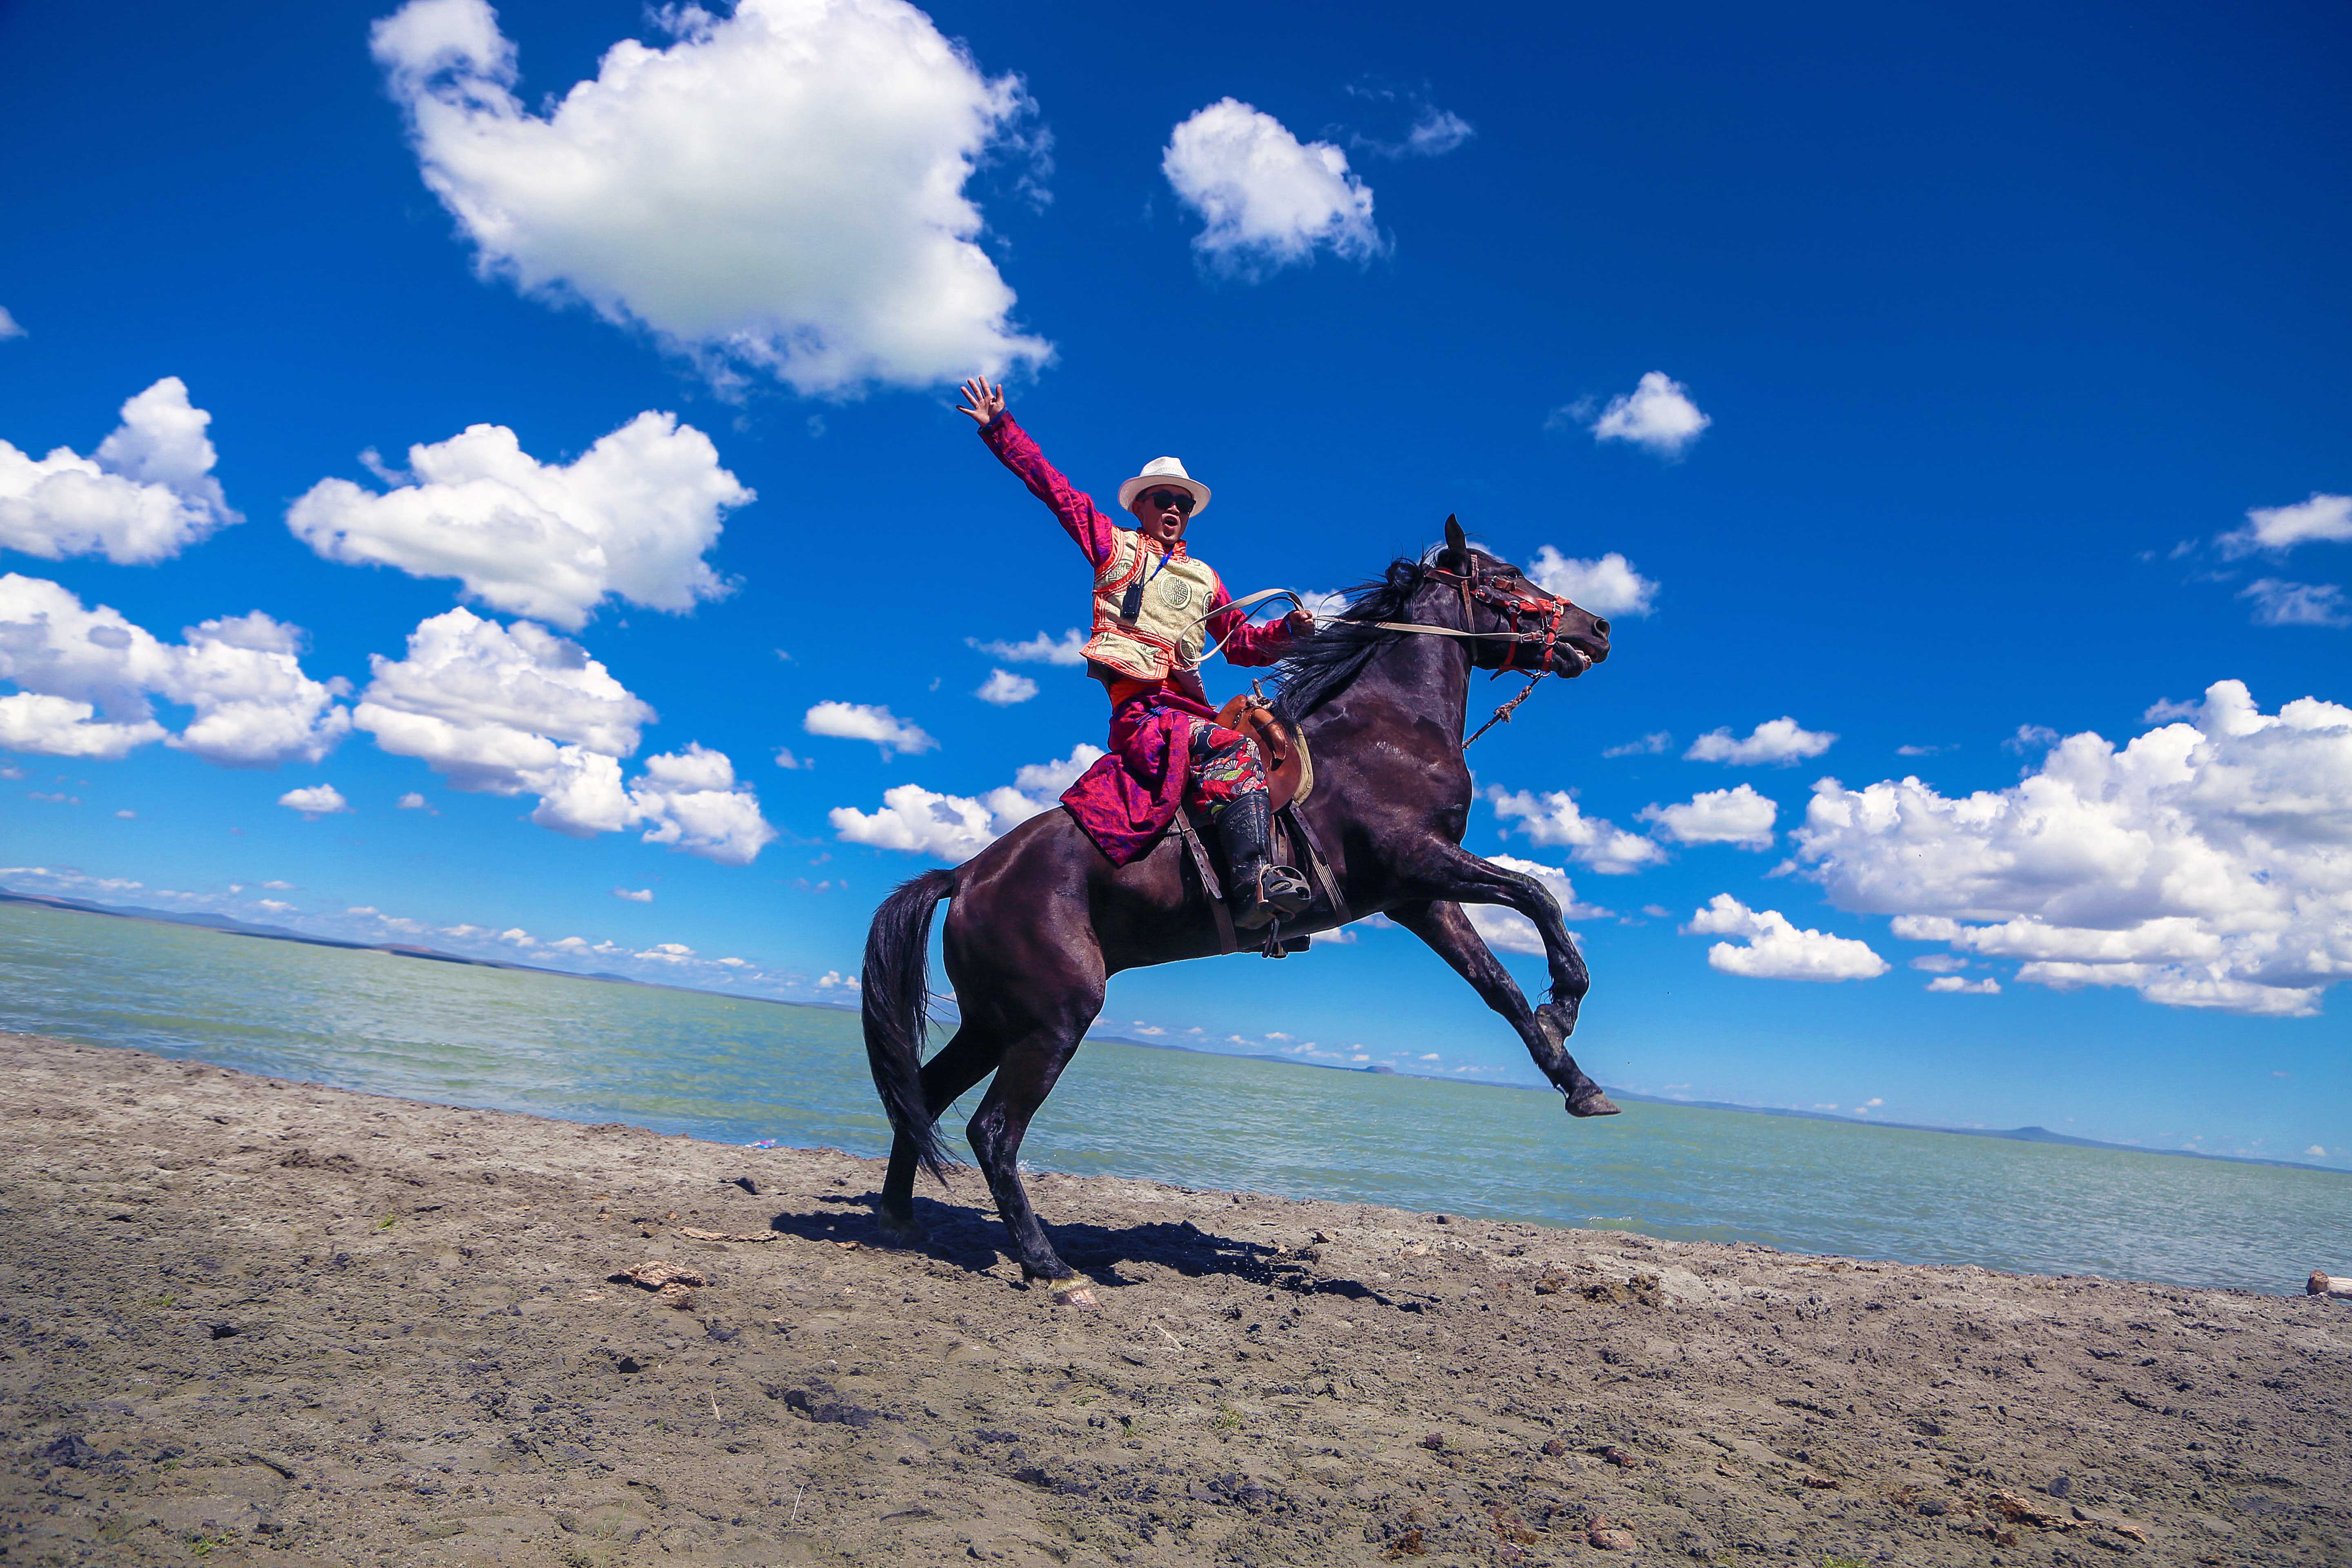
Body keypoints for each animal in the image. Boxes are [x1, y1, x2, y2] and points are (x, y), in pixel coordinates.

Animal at [860, 519, 1615, 1294]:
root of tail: (967, 875)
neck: (1390, 728)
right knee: (993, 1132)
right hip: (1052, 1020)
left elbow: (1501, 985)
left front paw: (1575, 1077)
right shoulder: (1419, 861)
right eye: (1508, 578)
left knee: (921, 1095)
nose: (1598, 628)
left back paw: (900, 1220)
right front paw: (1566, 1003)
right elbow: (1538, 895)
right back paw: (1050, 1265)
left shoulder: (1419, 899)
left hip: (995, 1021)